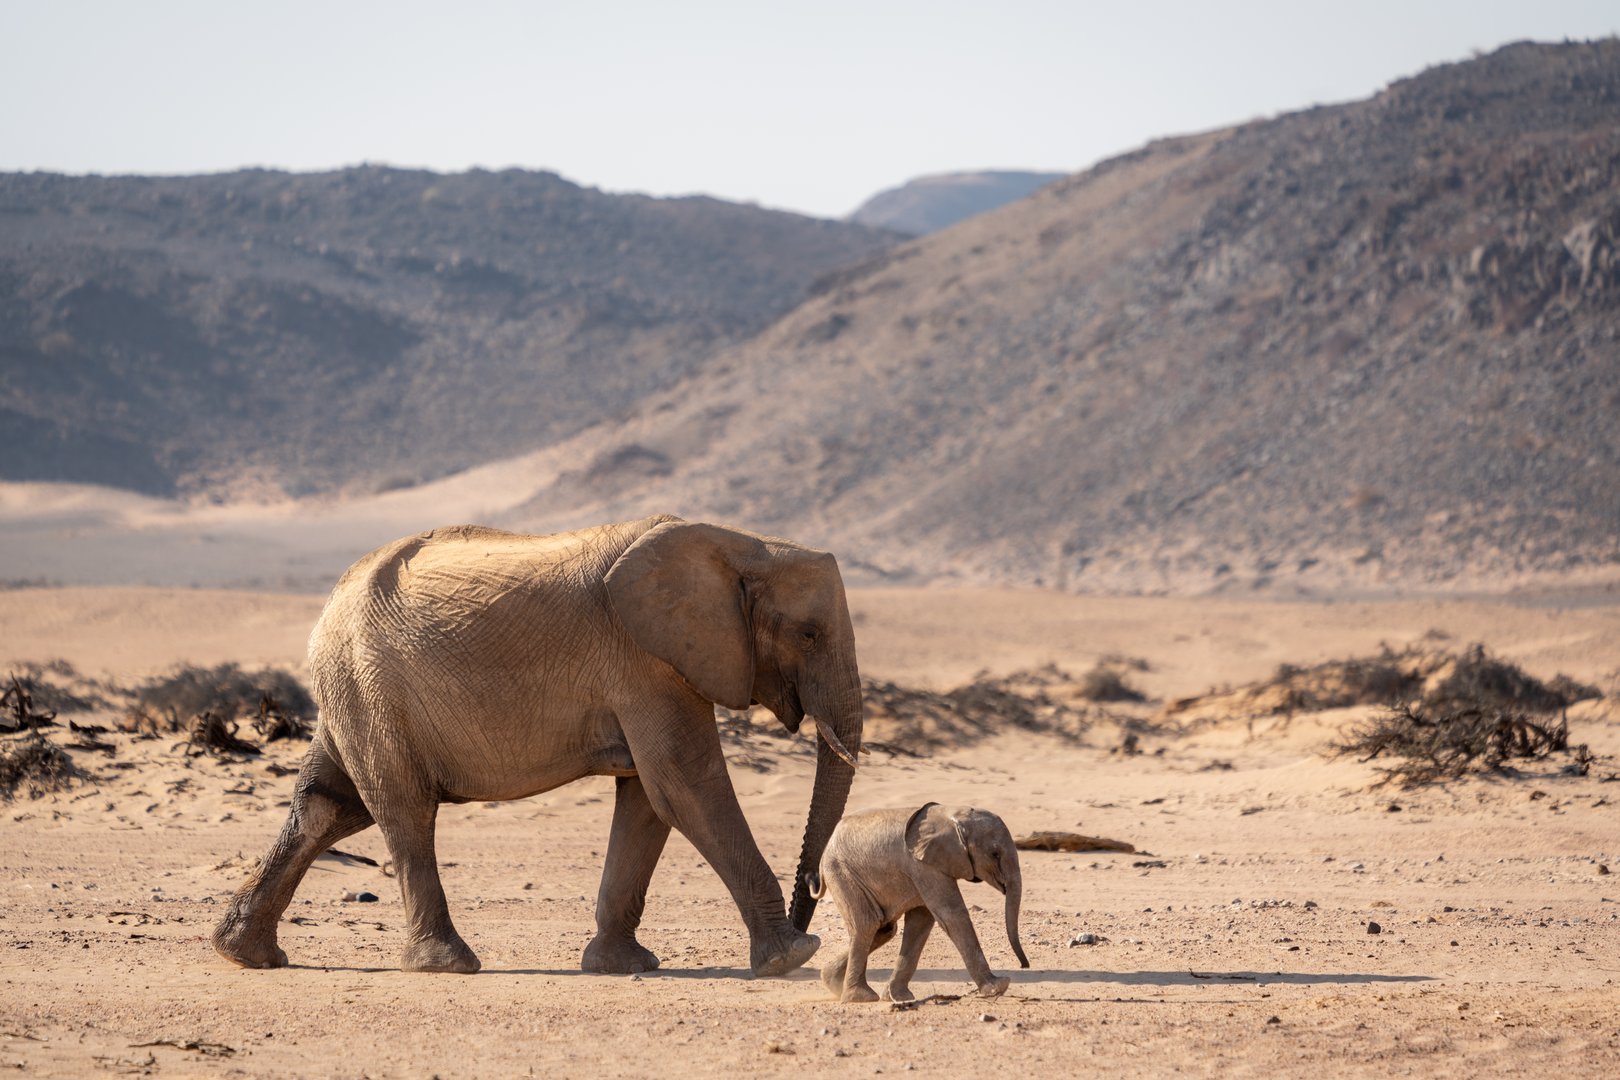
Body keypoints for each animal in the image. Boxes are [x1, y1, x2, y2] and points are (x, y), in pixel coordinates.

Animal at [211, 514, 865, 978]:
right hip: (370, 685)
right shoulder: (645, 659)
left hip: (355, 691)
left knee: (330, 804)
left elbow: (648, 799)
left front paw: (622, 967)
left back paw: (242, 953)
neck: (740, 543)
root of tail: (332, 598)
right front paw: (793, 956)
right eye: (809, 634)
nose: (812, 895)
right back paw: (448, 966)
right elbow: (684, 786)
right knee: (404, 810)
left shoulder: (652, 669)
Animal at [811, 802, 1028, 1003]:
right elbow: (951, 915)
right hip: (841, 873)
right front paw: (998, 987)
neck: (951, 814)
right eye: (995, 854)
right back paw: (861, 997)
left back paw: (833, 982)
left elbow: (921, 922)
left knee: (884, 929)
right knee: (867, 925)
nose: (1024, 965)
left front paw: (899, 997)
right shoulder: (922, 865)